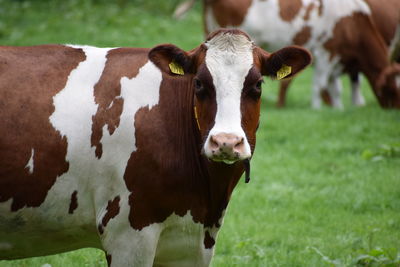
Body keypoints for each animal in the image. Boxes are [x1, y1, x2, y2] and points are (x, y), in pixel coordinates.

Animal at [176, 0, 400, 109]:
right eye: (390, 89)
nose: (394, 108)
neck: (352, 21)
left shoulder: (337, 59)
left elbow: (336, 87)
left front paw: (337, 107)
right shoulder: (325, 53)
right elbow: (320, 85)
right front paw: (318, 109)